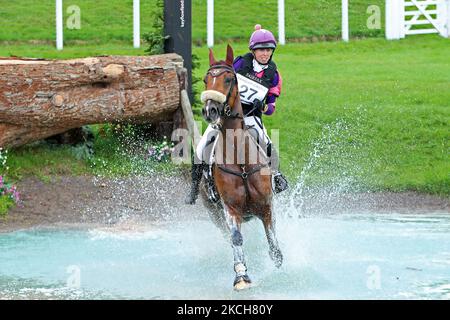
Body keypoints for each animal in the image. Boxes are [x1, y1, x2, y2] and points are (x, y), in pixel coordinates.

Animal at [200, 44, 282, 290]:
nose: (210, 110)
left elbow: (272, 240)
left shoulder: (266, 205)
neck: (241, 161)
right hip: (214, 213)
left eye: (229, 79)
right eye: (206, 79)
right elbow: (236, 239)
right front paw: (241, 276)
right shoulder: (231, 210)